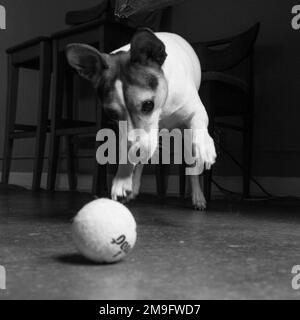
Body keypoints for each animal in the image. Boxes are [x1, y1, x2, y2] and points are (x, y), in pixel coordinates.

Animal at [66, 28, 216, 210]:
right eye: (111, 114)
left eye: (148, 105)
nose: (136, 152)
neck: (162, 108)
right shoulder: (125, 132)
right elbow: (128, 151)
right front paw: (123, 178)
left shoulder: (196, 111)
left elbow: (199, 125)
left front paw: (205, 145)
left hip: (185, 137)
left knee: (192, 165)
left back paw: (198, 195)